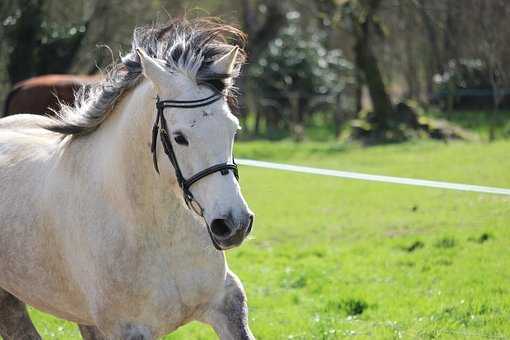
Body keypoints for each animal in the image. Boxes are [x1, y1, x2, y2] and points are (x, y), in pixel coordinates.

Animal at [0, 19, 255, 340]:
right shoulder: (128, 329)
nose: (233, 225)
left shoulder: (225, 303)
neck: (158, 232)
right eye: (179, 137)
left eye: (233, 130)